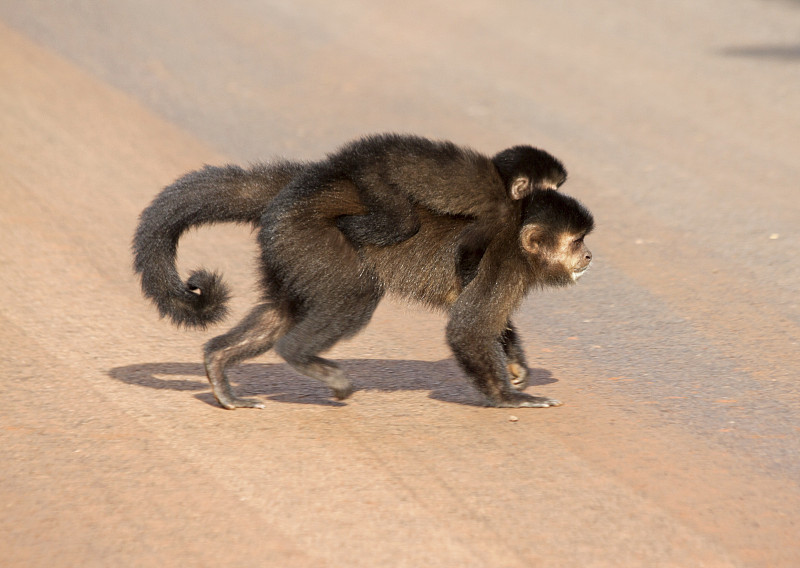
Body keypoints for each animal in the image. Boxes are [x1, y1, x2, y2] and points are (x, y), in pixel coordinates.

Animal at [133, 133, 592, 408]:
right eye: (576, 242)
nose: (588, 257)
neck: (518, 231)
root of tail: (309, 184)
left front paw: (516, 366)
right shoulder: (503, 255)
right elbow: (467, 326)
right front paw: (509, 397)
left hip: (287, 244)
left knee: (280, 310)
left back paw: (219, 365)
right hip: (311, 235)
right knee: (354, 296)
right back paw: (299, 354)